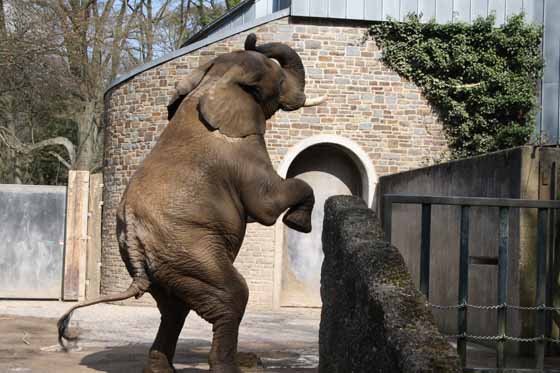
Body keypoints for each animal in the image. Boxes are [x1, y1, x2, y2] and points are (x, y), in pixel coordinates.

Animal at [58, 34, 324, 372]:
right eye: (278, 81)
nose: (252, 39)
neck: (212, 81)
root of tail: (135, 246)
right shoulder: (243, 152)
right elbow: (268, 204)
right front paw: (297, 223)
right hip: (191, 251)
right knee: (230, 297)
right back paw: (231, 367)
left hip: (171, 263)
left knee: (174, 309)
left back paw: (166, 368)